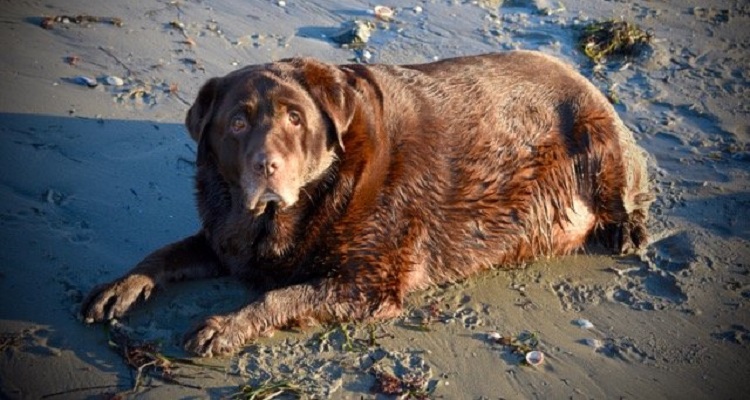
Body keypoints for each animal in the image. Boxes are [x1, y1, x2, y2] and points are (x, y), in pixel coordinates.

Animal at [81, 50, 652, 356]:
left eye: (295, 118)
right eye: (237, 122)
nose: (267, 166)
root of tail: (580, 73)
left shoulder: (369, 283)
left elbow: (280, 297)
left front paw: (224, 326)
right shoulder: (224, 237)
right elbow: (165, 254)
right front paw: (120, 286)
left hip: (596, 131)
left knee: (626, 192)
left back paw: (627, 230)